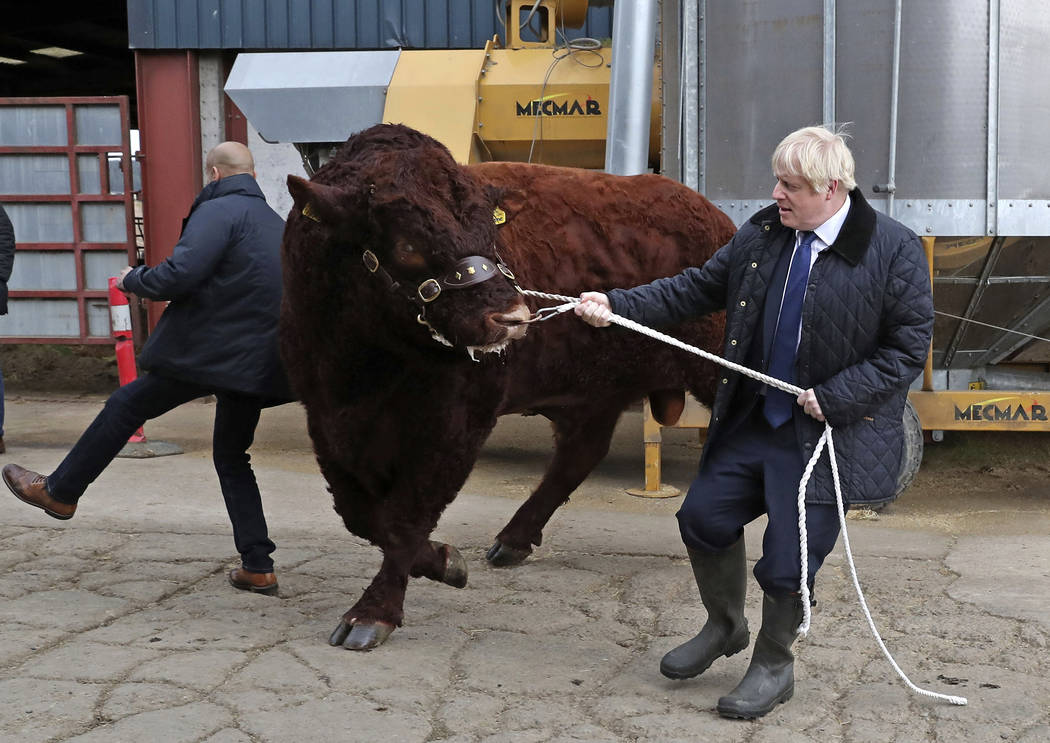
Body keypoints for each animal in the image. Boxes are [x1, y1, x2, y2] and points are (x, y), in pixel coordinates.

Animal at [283, 123, 734, 650]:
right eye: (407, 244)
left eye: (490, 232)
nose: (513, 317)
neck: (364, 363)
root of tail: (712, 215)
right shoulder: (326, 417)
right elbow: (362, 513)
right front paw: (442, 561)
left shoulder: (458, 422)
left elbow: (406, 516)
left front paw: (374, 613)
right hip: (594, 391)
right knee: (579, 455)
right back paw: (513, 540)